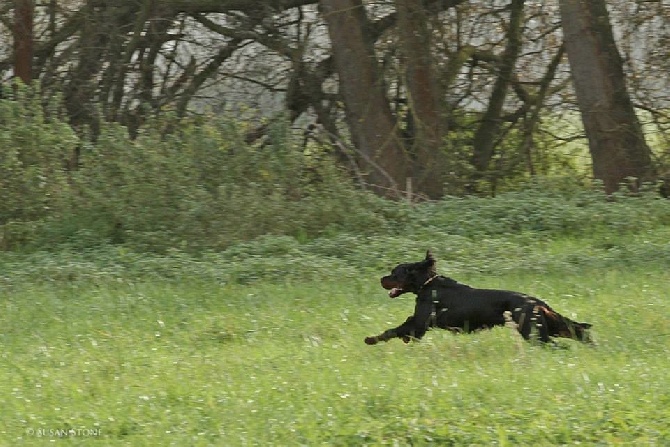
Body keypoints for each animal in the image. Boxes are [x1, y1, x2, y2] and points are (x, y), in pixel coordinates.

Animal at [368, 252, 592, 346]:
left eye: (394, 273)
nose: (381, 279)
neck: (428, 285)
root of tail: (536, 302)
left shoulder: (419, 323)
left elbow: (395, 330)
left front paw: (370, 339)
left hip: (534, 333)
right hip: (546, 327)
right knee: (576, 331)